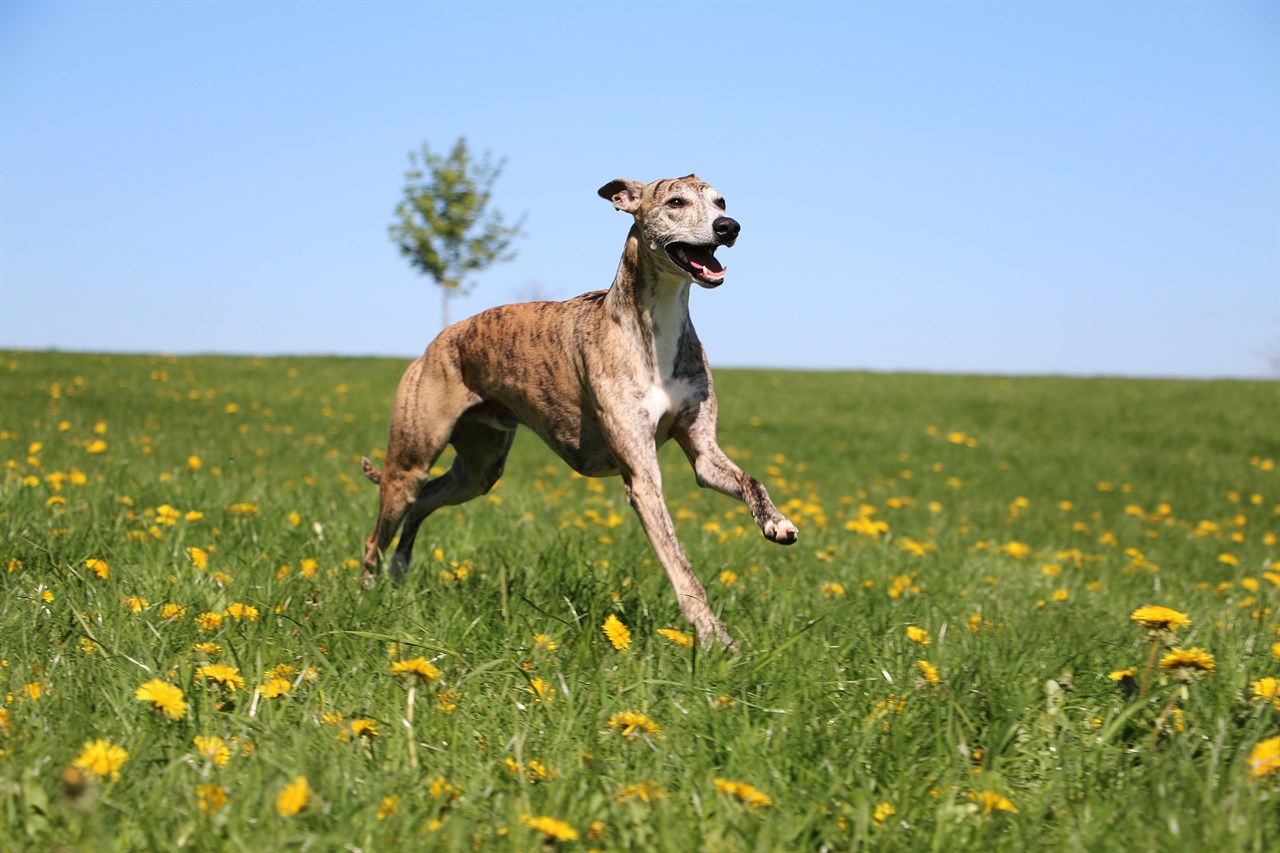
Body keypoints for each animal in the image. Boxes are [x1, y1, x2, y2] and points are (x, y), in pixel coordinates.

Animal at [360, 175, 793, 648]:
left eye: (721, 201)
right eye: (676, 202)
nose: (728, 227)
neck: (654, 324)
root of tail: (436, 342)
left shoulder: (702, 451)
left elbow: (749, 480)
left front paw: (776, 523)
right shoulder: (643, 478)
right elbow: (681, 566)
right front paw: (716, 638)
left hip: (479, 469)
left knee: (424, 502)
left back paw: (400, 569)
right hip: (410, 460)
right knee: (379, 533)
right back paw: (367, 595)